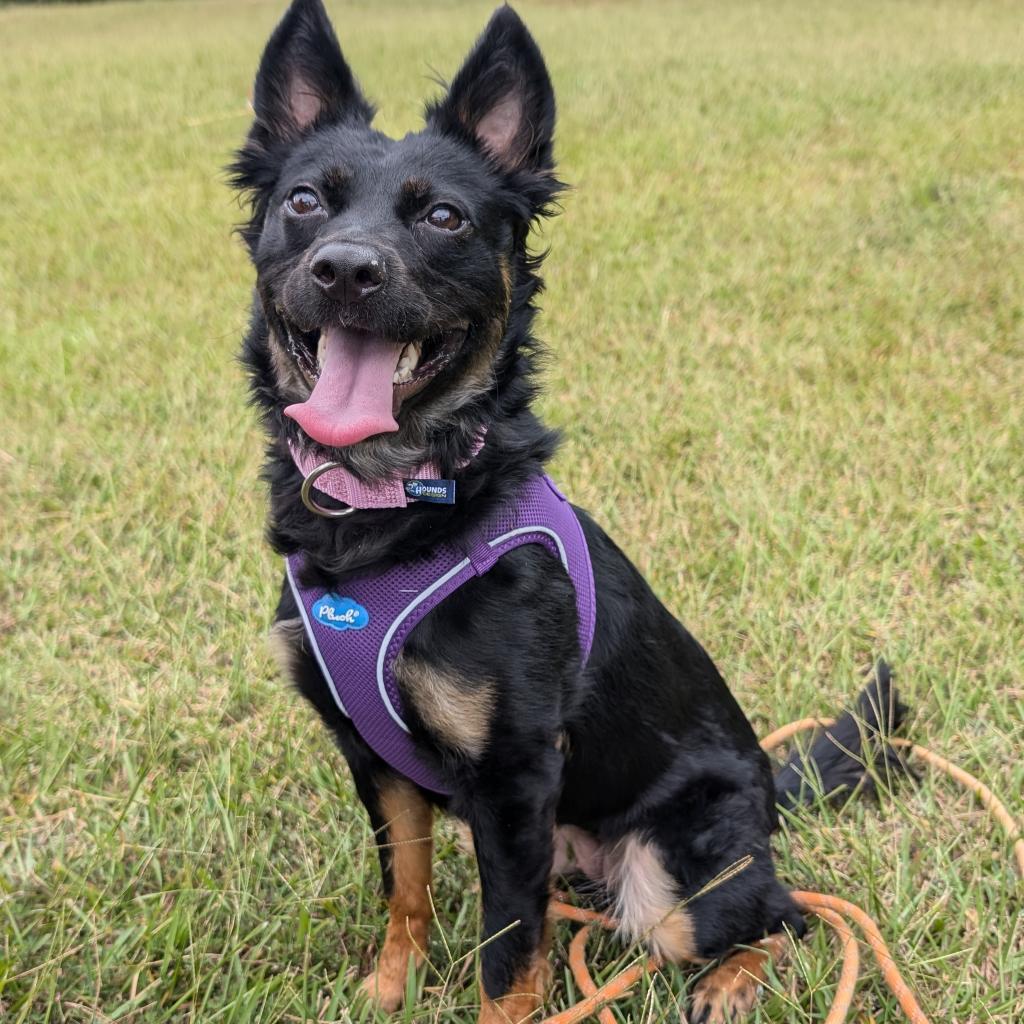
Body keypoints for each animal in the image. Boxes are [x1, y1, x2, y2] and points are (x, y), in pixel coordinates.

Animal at [232, 4, 905, 1019]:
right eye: (306, 201)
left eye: (443, 216)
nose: (346, 269)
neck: (393, 508)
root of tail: (769, 797)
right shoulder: (376, 762)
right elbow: (405, 889)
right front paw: (388, 989)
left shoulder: (516, 777)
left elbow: (508, 953)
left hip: (672, 874)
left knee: (784, 915)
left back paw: (729, 985)